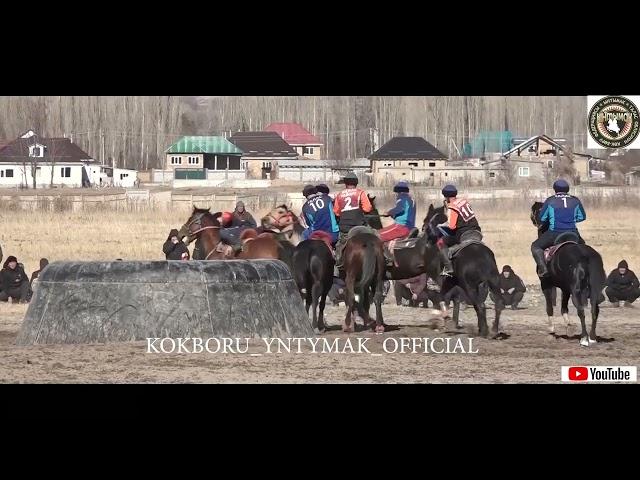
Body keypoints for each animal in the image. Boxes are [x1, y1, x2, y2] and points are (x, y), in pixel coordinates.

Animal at [424, 204, 504, 340]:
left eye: (426, 222)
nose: (427, 242)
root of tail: (481, 258)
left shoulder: (445, 282)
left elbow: (443, 297)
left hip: (469, 287)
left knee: (480, 306)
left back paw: (484, 332)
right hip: (494, 282)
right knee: (497, 304)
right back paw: (493, 330)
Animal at [532, 202, 608, 344]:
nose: (535, 221)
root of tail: (585, 256)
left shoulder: (546, 284)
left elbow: (549, 307)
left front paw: (551, 330)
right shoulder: (565, 288)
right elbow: (563, 307)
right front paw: (569, 326)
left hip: (576, 291)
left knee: (581, 311)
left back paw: (584, 338)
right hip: (592, 289)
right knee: (595, 311)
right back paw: (592, 337)